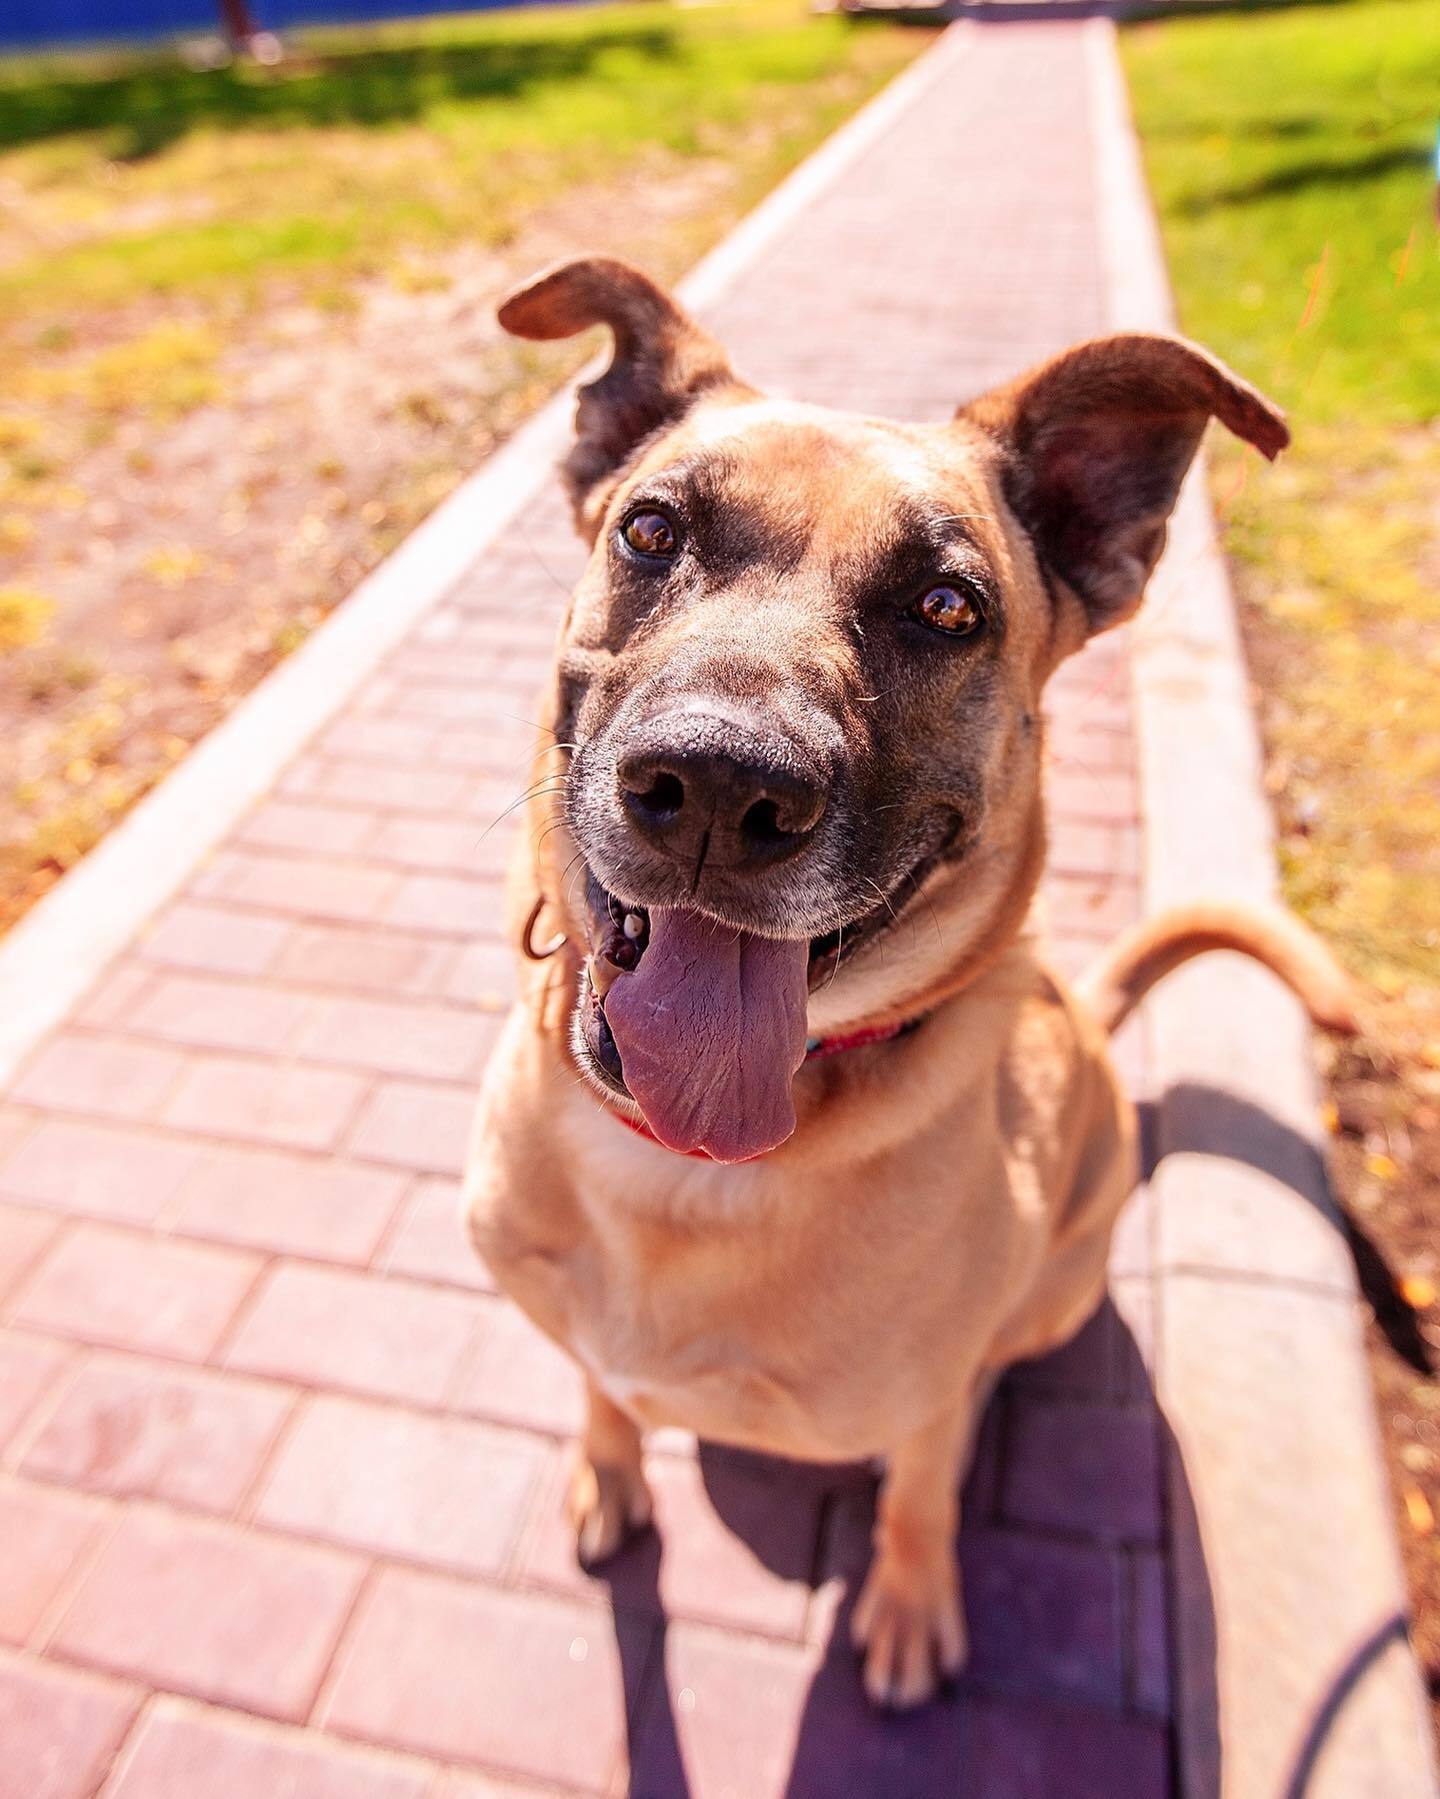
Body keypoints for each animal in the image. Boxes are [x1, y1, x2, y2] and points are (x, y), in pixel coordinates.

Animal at [468, 250, 1353, 1698]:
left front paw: (907, 1599)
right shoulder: (577, 1330)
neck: (686, 1169)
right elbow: (604, 1391)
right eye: (651, 531)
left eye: (949, 608)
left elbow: (922, 1487)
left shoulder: (927, 1400)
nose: (717, 786)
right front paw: (610, 1474)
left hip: (1059, 1284)